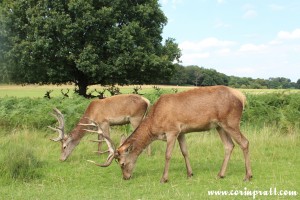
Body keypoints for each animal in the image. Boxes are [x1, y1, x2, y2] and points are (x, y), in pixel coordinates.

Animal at [88, 86, 252, 183]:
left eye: (121, 163)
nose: (126, 177)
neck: (155, 125)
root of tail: (242, 97)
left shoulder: (172, 130)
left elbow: (167, 155)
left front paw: (164, 178)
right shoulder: (181, 132)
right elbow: (185, 151)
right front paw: (190, 174)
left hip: (231, 121)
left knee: (244, 142)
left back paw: (247, 176)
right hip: (219, 126)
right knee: (229, 145)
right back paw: (220, 174)